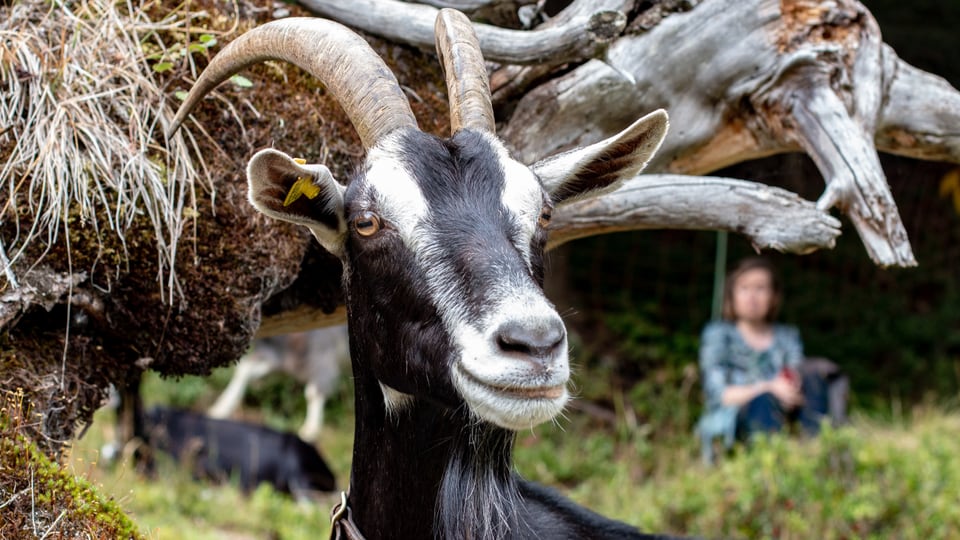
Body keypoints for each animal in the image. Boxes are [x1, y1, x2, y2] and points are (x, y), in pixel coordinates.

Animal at [206, 324, 348, 442]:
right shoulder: (274, 354)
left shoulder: (322, 356)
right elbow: (245, 370)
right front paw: (221, 408)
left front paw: (310, 429)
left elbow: (313, 393)